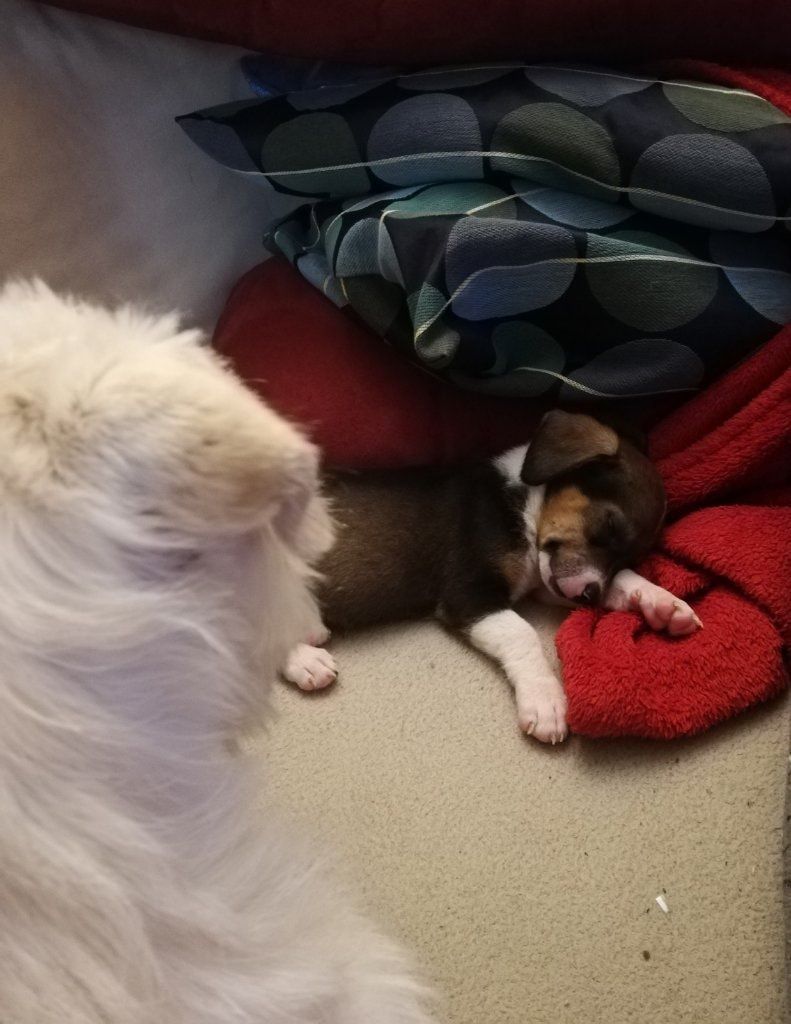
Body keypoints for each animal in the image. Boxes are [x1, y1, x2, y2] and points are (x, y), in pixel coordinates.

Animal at [284, 411, 701, 744]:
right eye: (609, 525)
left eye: (634, 555)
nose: (588, 598)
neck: (524, 508)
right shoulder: (470, 593)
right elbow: (523, 634)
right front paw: (546, 700)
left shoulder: (545, 581)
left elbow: (624, 581)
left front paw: (664, 605)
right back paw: (307, 660)